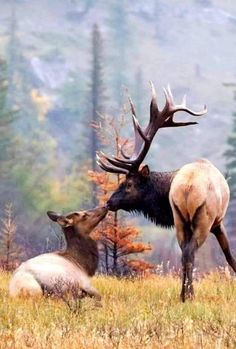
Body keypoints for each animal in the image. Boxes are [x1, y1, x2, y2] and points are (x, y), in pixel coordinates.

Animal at [96, 83, 236, 300]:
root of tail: (188, 187)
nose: (109, 202)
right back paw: (189, 295)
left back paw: (183, 295)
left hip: (179, 218)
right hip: (204, 218)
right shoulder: (218, 222)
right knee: (190, 252)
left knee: (184, 252)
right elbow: (229, 255)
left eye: (129, 184)